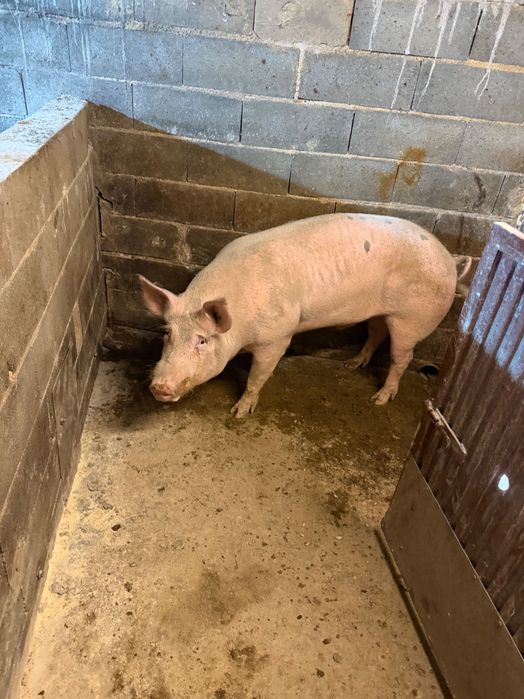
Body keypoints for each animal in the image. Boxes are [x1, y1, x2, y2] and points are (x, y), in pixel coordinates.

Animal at [139, 213, 471, 418]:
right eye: (167, 334)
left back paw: (378, 399)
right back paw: (351, 365)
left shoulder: (277, 336)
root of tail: (451, 261)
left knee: (402, 357)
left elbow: (257, 377)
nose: (159, 387)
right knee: (376, 332)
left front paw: (239, 412)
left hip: (411, 319)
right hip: (380, 311)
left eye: (203, 341)